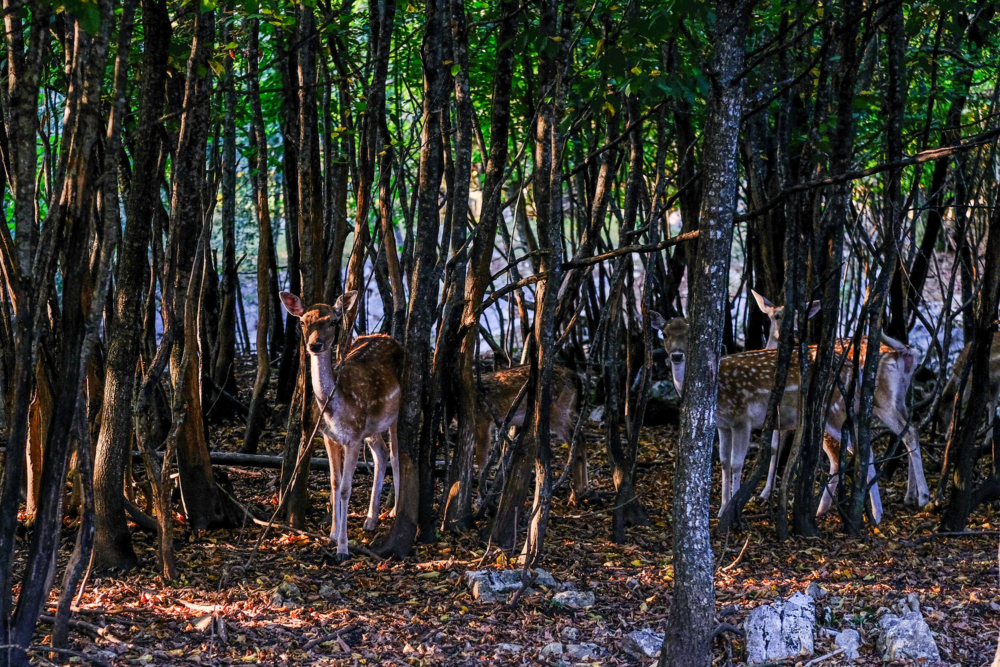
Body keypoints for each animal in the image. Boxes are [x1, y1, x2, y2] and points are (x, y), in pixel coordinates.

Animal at [279, 290, 403, 560]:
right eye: (302, 321)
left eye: (333, 321)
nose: (315, 345)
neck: (332, 410)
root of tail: (388, 337)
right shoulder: (329, 436)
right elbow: (334, 483)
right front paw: (333, 534)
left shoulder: (353, 437)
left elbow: (346, 488)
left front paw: (343, 548)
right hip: (371, 426)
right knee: (381, 453)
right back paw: (370, 520)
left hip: (400, 408)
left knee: (397, 455)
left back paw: (395, 511)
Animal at [651, 312, 929, 523]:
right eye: (665, 334)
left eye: (690, 335)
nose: (677, 356)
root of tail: (906, 353)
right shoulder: (723, 424)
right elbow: (724, 462)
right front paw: (721, 509)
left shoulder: (742, 419)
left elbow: (739, 463)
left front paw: (732, 512)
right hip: (881, 403)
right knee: (890, 437)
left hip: (850, 408)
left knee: (879, 442)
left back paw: (891, 509)